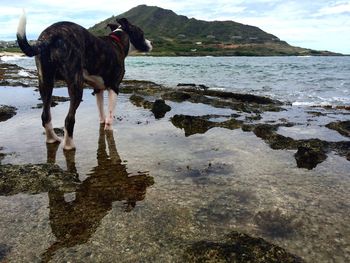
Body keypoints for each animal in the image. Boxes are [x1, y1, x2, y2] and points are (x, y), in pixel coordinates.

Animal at [16, 11, 152, 151]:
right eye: (141, 33)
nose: (151, 43)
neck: (118, 41)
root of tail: (50, 35)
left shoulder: (98, 89)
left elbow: (101, 111)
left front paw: (102, 124)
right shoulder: (114, 88)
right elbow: (109, 115)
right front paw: (109, 129)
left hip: (45, 82)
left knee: (45, 116)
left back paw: (52, 139)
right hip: (76, 85)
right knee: (69, 119)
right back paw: (69, 145)